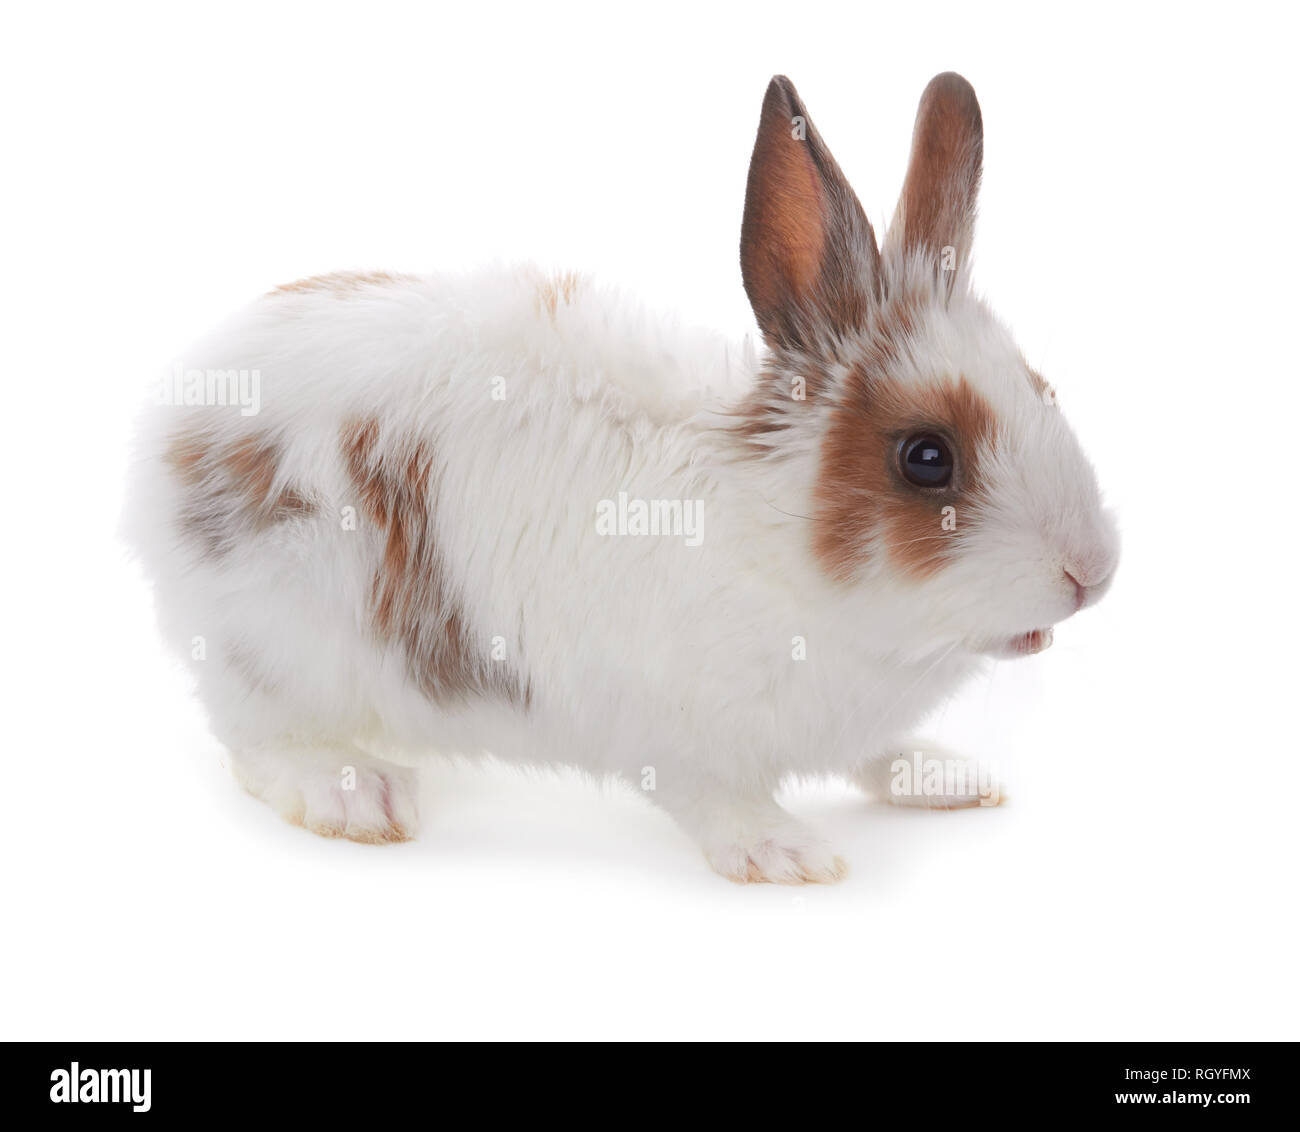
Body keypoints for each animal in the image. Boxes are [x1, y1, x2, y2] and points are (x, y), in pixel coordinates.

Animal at [125, 72, 1118, 884]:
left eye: (1044, 389)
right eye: (927, 458)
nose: (1095, 573)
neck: (777, 548)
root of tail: (173, 421)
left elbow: (876, 755)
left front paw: (948, 774)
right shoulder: (673, 733)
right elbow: (714, 798)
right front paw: (786, 853)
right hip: (280, 645)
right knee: (253, 742)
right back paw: (356, 792)